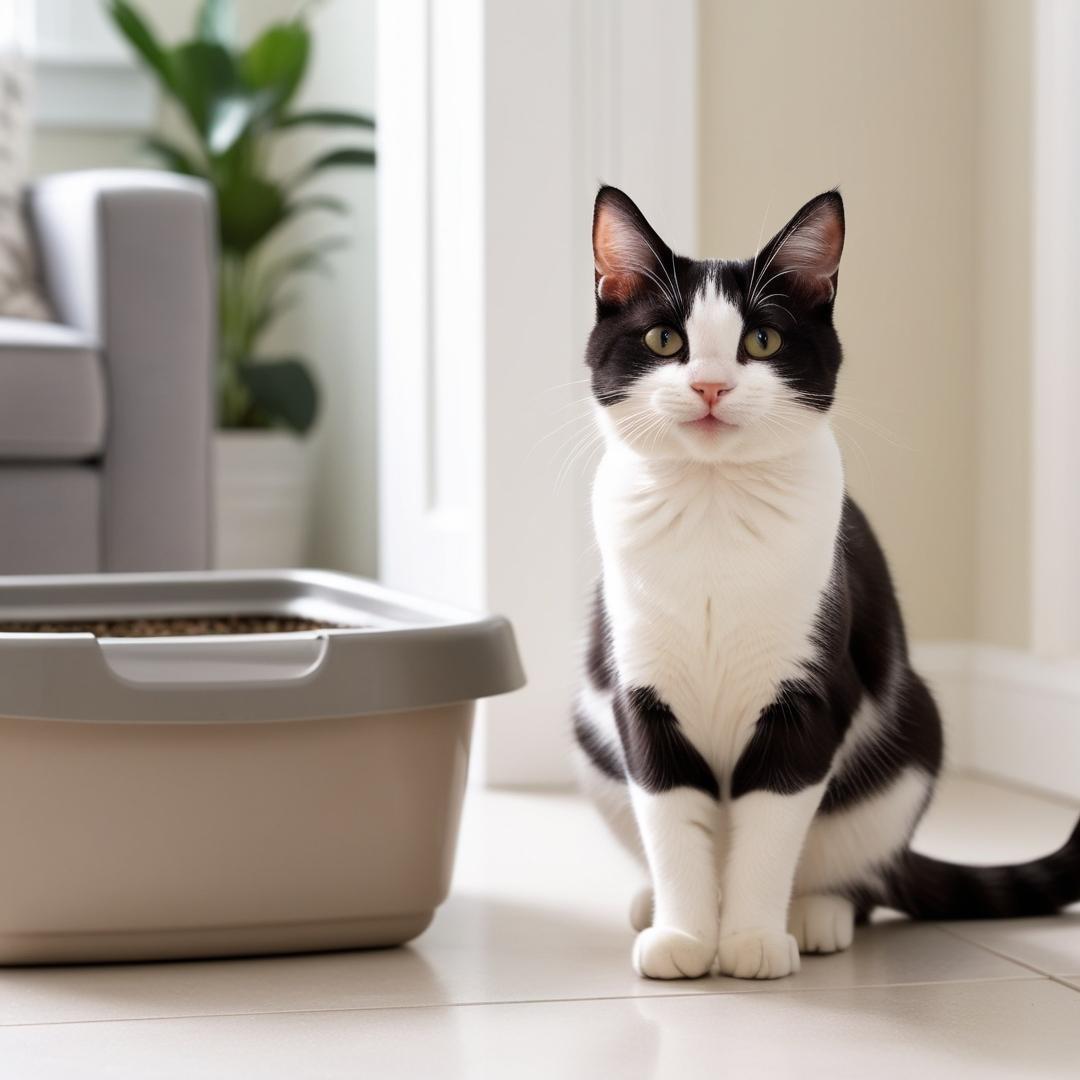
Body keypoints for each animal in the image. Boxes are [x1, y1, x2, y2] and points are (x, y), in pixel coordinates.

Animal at [574, 183, 1080, 980]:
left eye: (762, 342)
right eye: (663, 341)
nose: (711, 384)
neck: (713, 507)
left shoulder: (812, 688)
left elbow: (772, 820)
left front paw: (750, 940)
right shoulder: (638, 690)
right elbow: (671, 814)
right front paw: (685, 937)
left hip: (909, 749)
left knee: (857, 873)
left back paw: (817, 913)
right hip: (591, 738)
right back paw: (650, 902)